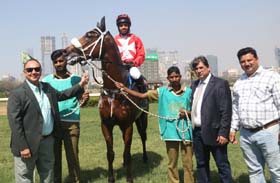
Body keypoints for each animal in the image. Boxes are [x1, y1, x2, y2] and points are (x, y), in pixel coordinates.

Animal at [64, 16, 149, 182]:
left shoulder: (127, 125)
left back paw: (145, 158)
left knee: (143, 136)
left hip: (142, 117)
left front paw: (129, 178)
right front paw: (111, 178)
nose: (66, 52)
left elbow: (128, 152)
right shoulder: (106, 125)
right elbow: (110, 153)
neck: (114, 91)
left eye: (90, 35)